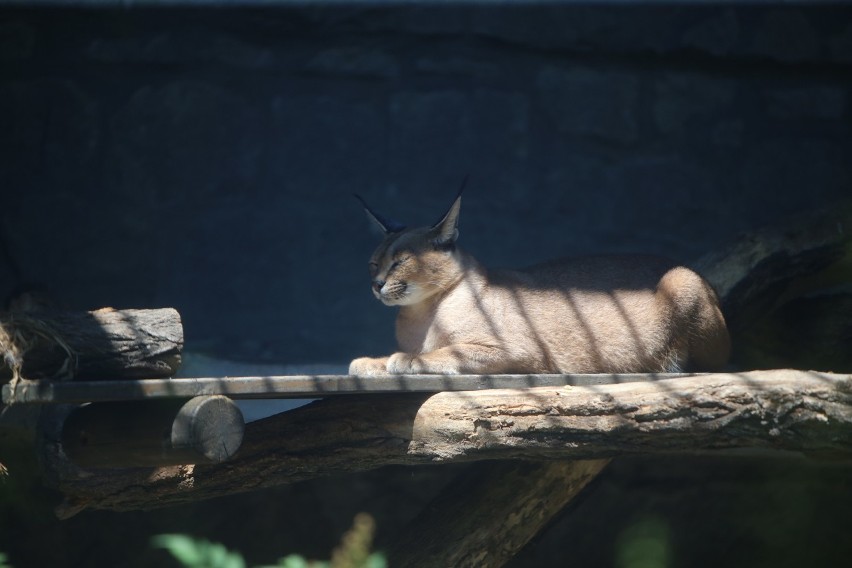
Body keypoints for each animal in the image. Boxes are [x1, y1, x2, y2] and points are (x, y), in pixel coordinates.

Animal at [350, 191, 728, 378]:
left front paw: (405, 359)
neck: (422, 312)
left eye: (400, 262)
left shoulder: (519, 350)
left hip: (682, 279)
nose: (377, 284)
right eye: (373, 263)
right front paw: (372, 362)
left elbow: (448, 352)